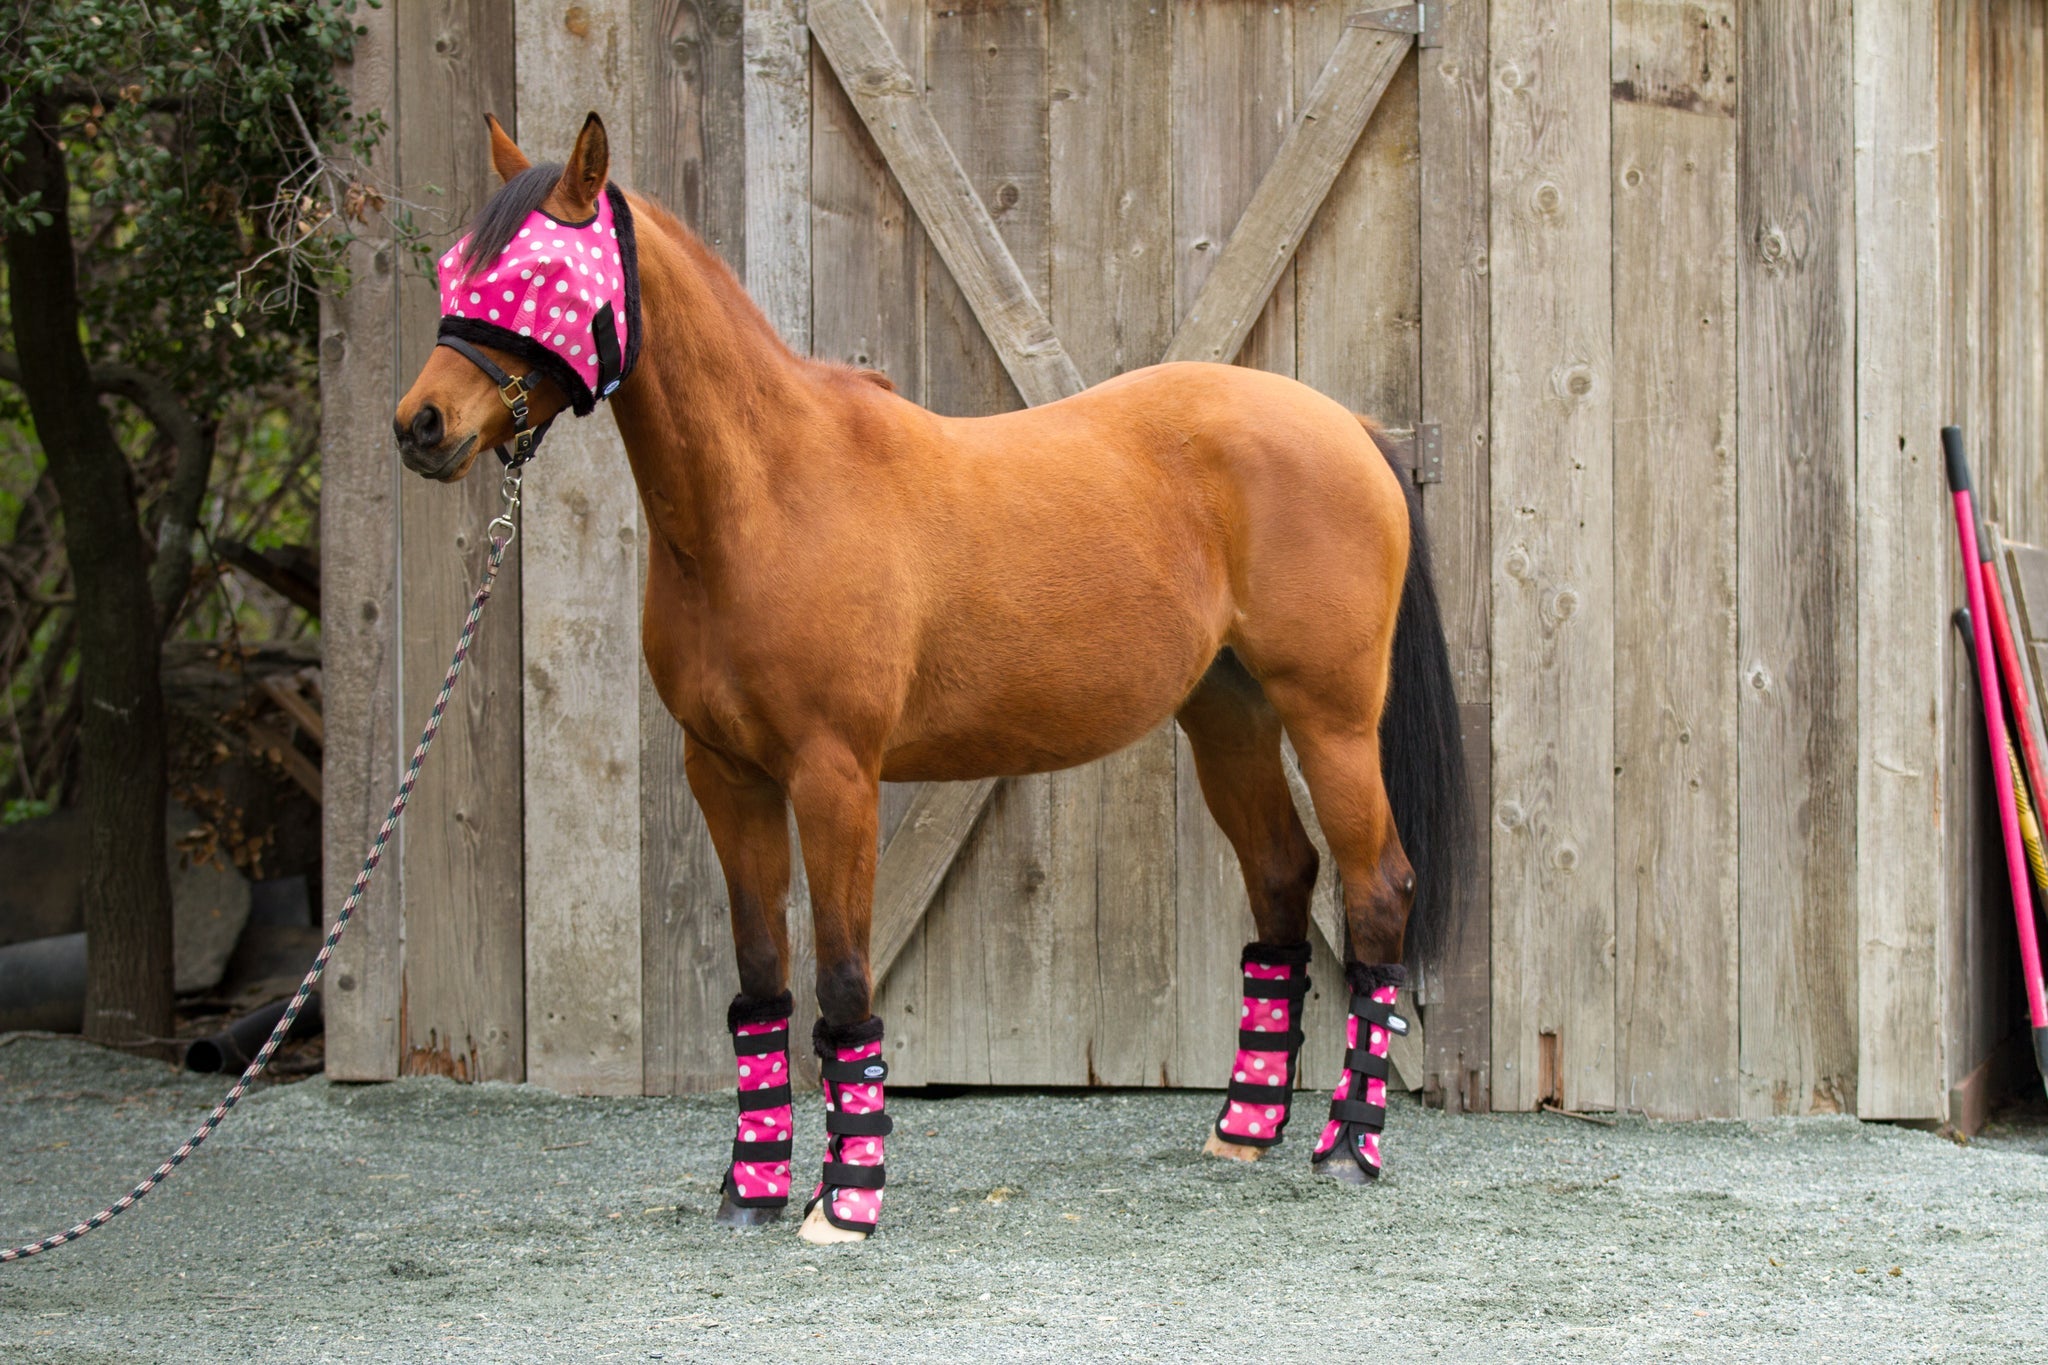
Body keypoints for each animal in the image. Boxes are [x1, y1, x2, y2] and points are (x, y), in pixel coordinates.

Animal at [391, 114, 1466, 1252]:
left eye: (537, 272)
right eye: (456, 265)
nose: (420, 425)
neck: (764, 498)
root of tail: (1348, 428)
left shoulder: (835, 777)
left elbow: (841, 975)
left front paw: (846, 1202)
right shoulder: (724, 774)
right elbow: (760, 976)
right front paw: (753, 1189)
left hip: (1331, 717)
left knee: (1378, 888)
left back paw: (1348, 1146)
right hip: (1227, 715)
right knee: (1281, 878)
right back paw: (1244, 1129)